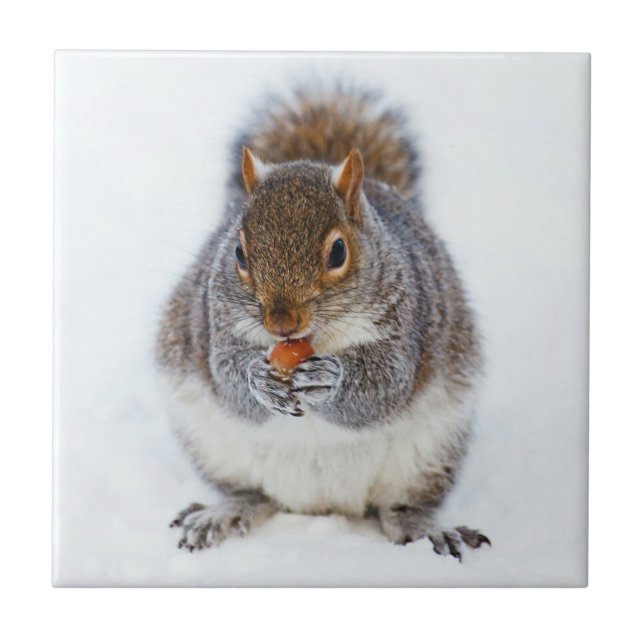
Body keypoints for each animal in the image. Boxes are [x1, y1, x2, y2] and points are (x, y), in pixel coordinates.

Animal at [156, 88, 490, 559]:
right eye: (238, 253)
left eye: (338, 252)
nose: (281, 323)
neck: (312, 340)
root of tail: (321, 505)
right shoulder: (215, 322)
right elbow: (228, 379)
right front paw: (259, 379)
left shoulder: (407, 323)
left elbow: (385, 387)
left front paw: (329, 380)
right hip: (212, 445)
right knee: (253, 493)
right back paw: (223, 513)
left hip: (430, 454)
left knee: (401, 506)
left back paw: (426, 529)